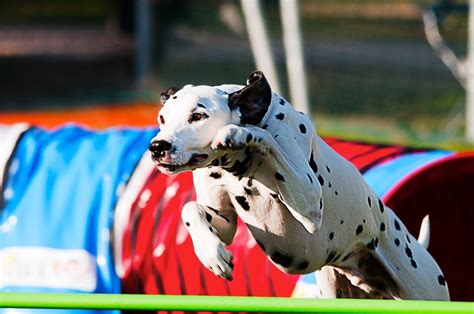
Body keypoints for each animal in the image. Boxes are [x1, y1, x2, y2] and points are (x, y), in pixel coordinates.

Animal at [150, 70, 450, 300]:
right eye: (162, 118)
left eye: (198, 116)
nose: (157, 147)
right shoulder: (223, 220)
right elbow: (190, 210)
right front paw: (212, 254)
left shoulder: (309, 204)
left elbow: (265, 139)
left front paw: (239, 132)